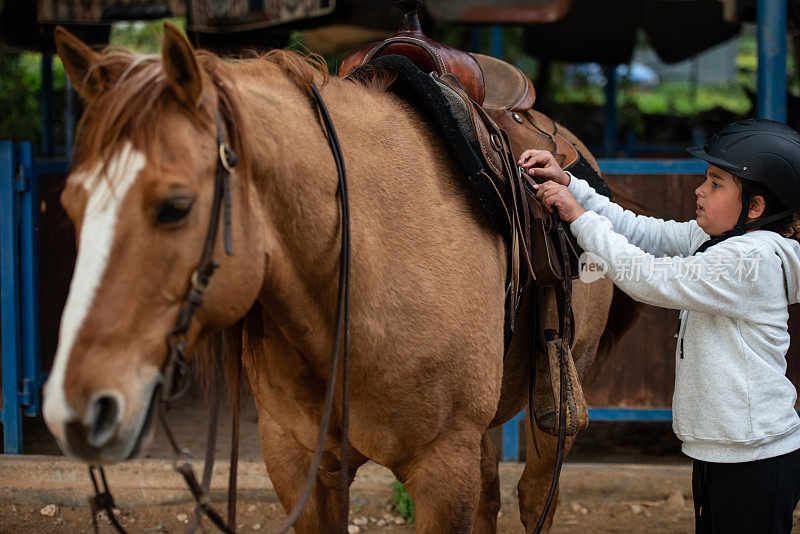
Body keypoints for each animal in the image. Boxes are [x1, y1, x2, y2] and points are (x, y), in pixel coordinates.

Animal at [43, 23, 636, 532]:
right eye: (71, 204)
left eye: (175, 207)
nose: (75, 410)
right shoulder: (300, 462)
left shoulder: (444, 468)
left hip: (556, 400)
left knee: (535, 496)